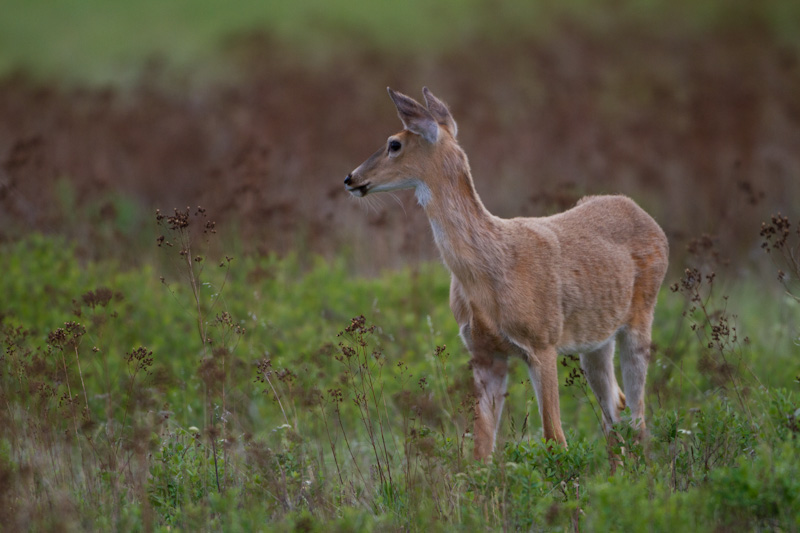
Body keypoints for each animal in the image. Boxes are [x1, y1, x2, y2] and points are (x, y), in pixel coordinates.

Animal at [344, 88, 668, 462]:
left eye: (394, 143)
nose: (350, 178)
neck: (490, 269)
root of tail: (647, 217)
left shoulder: (542, 340)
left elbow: (555, 438)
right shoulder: (484, 352)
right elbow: (481, 449)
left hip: (641, 316)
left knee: (638, 416)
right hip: (596, 339)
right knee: (616, 408)